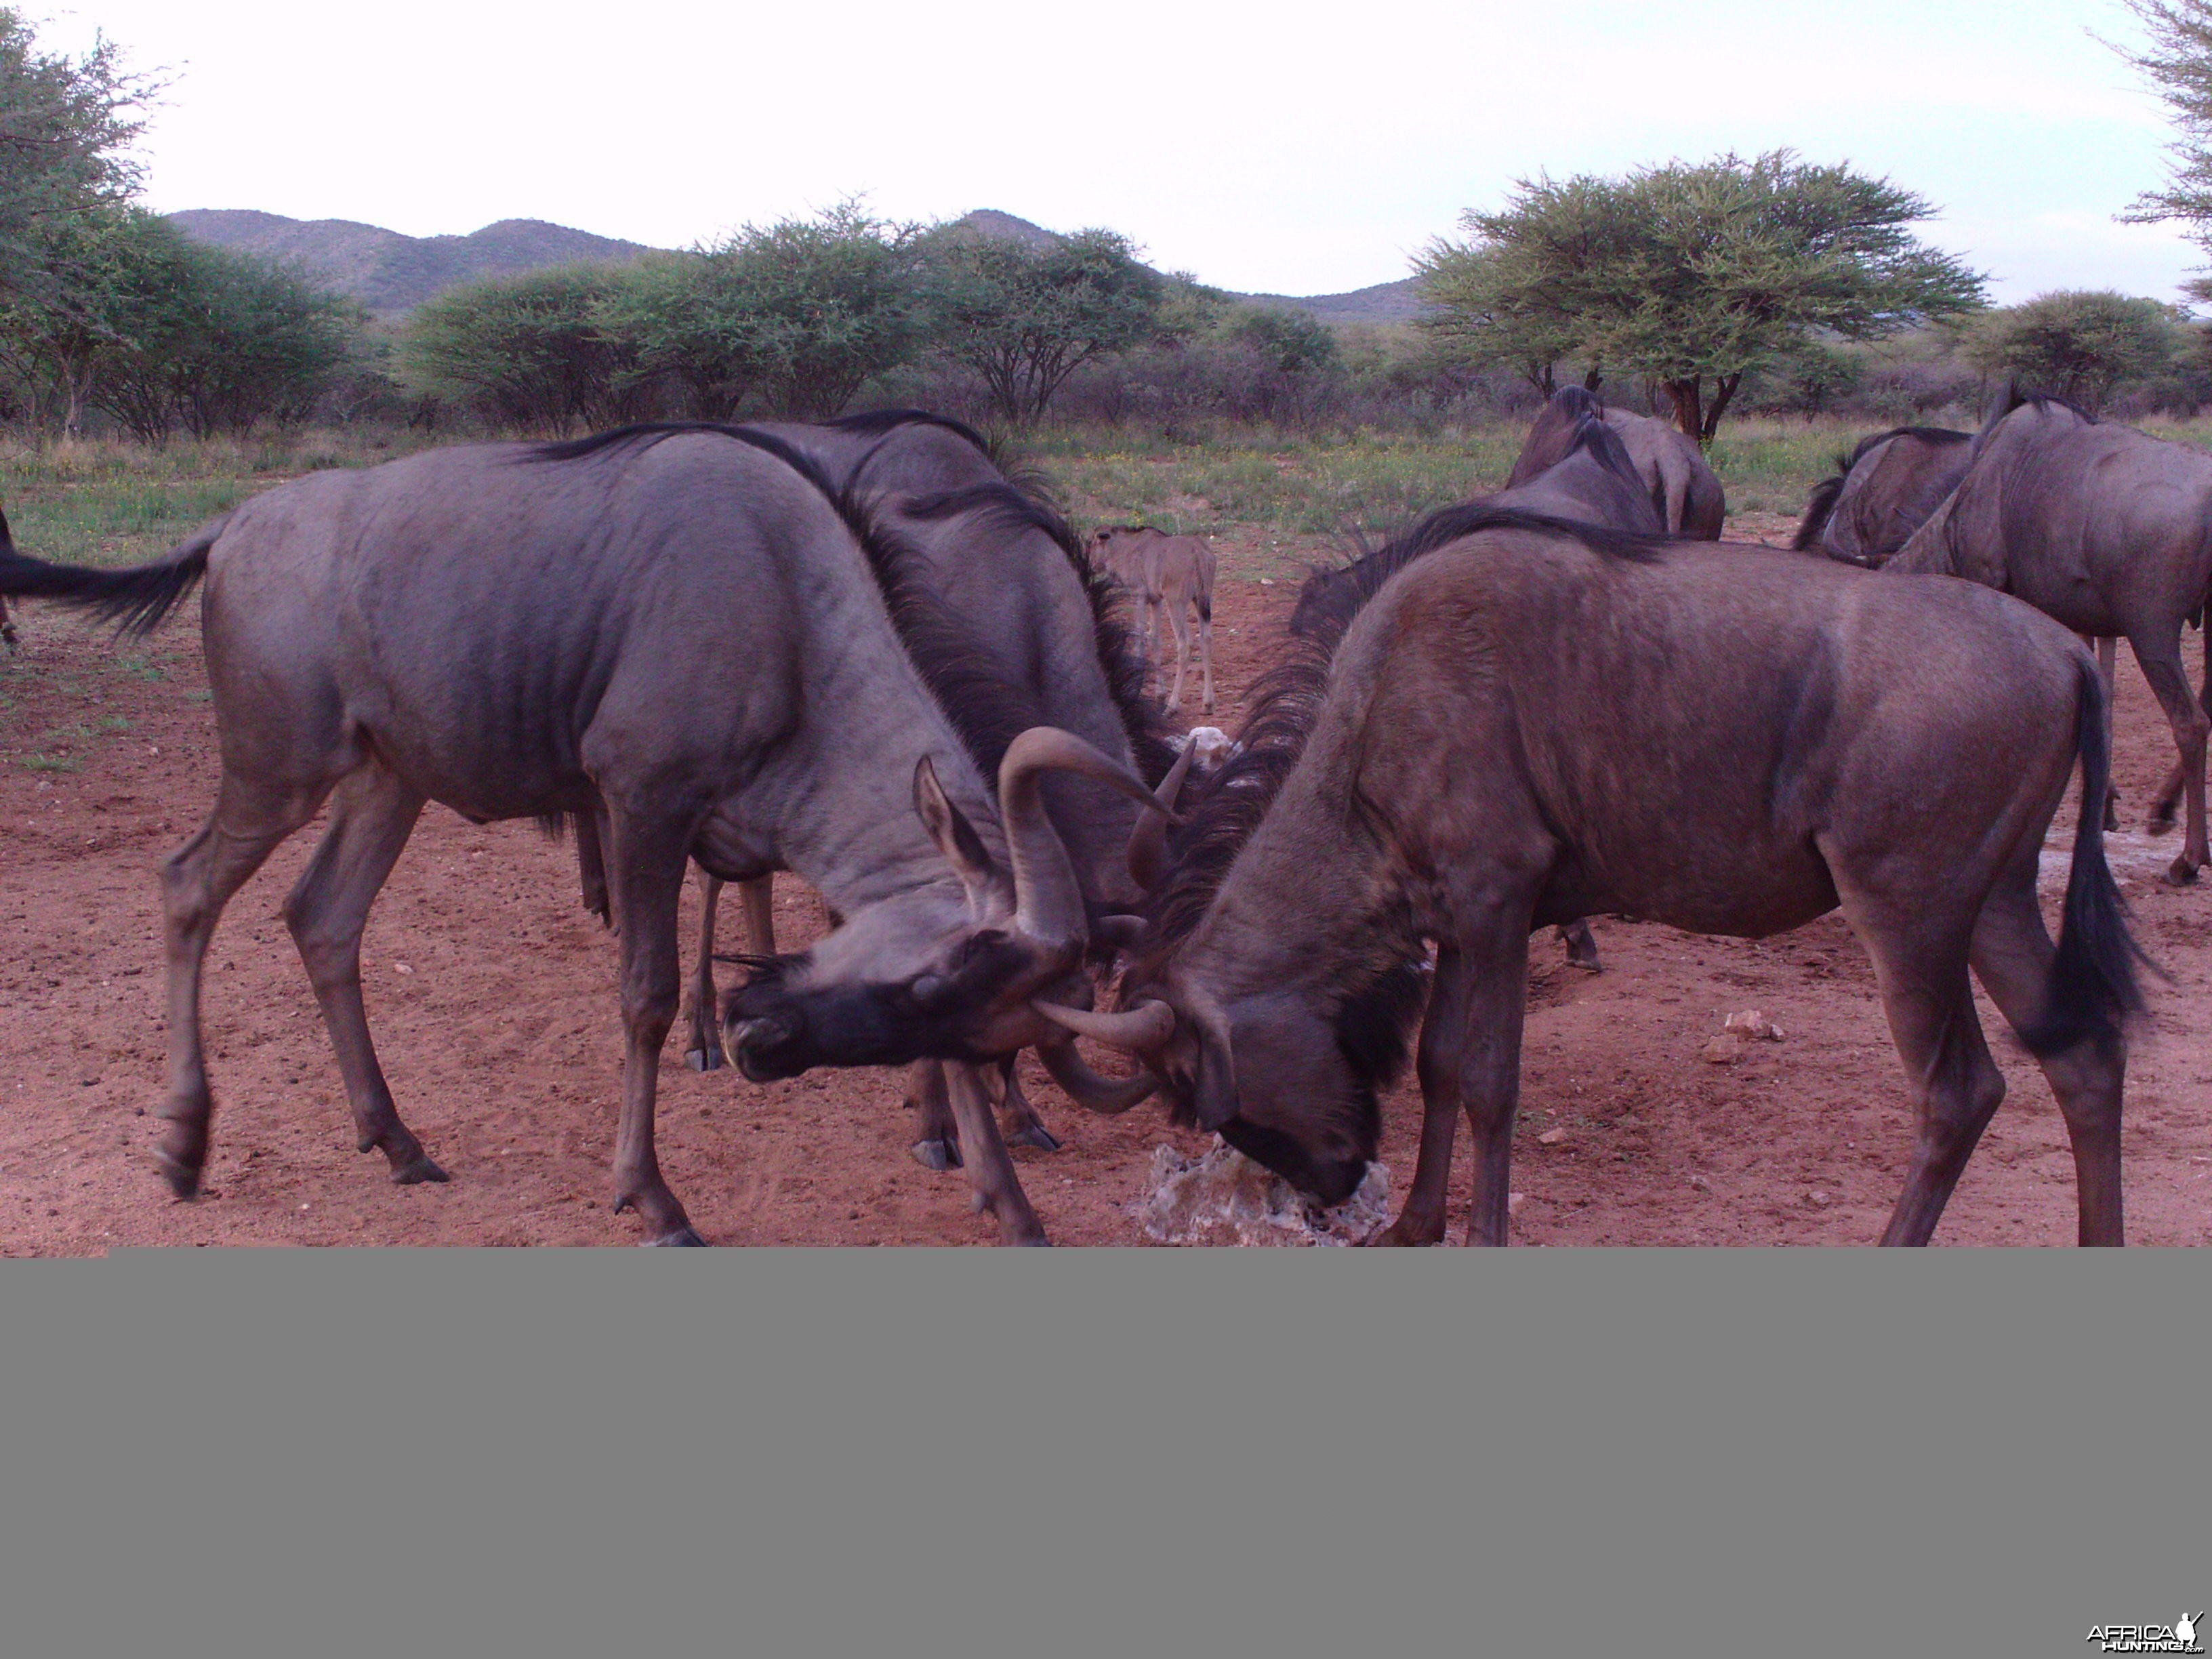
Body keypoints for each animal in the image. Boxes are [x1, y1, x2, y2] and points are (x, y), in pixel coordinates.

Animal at [1092, 526, 1221, 716]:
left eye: (1092, 542)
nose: (1090, 564)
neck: (1124, 549)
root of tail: (1200, 554)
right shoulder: (1156, 600)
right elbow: (1154, 640)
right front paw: (1159, 695)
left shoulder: (1139, 594)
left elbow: (1139, 638)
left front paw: (1136, 689)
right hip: (1202, 601)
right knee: (1206, 640)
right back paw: (1208, 704)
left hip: (1176, 601)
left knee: (1185, 644)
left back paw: (1172, 706)